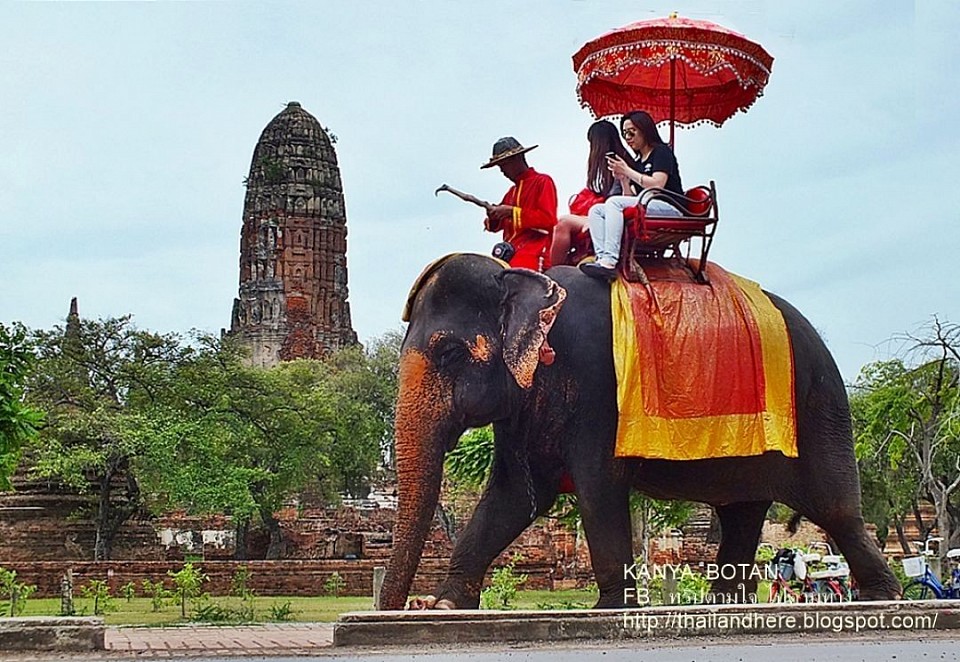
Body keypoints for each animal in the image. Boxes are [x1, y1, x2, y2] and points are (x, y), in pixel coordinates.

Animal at [378, 254, 904, 612]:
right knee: (742, 512)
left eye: (449, 353)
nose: (403, 606)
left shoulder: (597, 384)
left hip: (819, 406)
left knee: (834, 507)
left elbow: (597, 487)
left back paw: (880, 598)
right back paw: (722, 605)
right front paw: (446, 605)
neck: (526, 277)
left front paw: (610, 608)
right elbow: (514, 496)